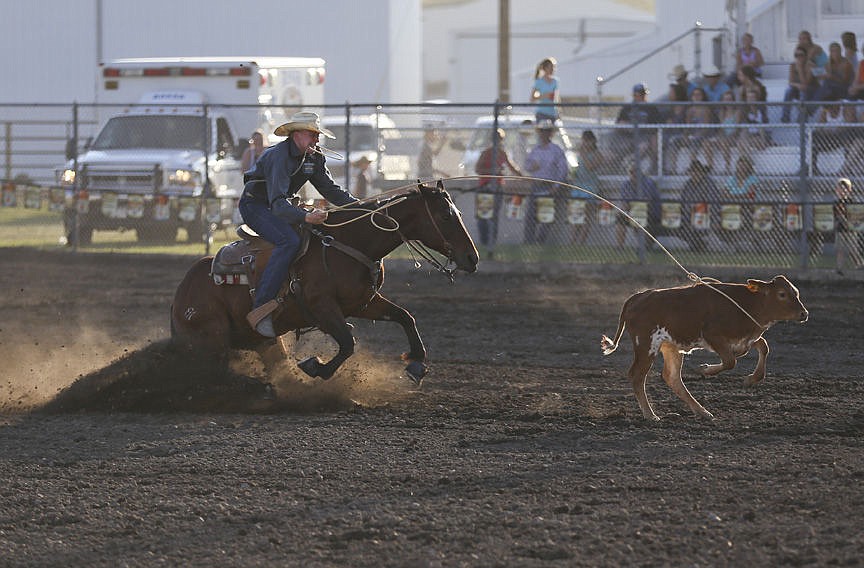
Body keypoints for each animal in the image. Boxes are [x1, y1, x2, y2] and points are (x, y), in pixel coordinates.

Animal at [169, 181, 480, 386]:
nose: (472, 257)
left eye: (458, 213)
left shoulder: (362, 303)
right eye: (445, 215)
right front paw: (316, 366)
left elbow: (405, 317)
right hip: (212, 339)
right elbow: (347, 343)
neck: (350, 242)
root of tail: (181, 294)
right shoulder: (323, 308)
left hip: (263, 341)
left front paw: (416, 362)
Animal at [604, 276, 808, 422]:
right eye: (782, 294)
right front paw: (704, 369)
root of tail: (637, 297)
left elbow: (763, 347)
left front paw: (751, 379)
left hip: (670, 346)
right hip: (646, 345)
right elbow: (730, 361)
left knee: (672, 377)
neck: (747, 304)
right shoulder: (713, 335)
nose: (804, 313)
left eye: (796, 293)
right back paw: (650, 415)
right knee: (637, 376)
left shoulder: (746, 338)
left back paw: (701, 411)